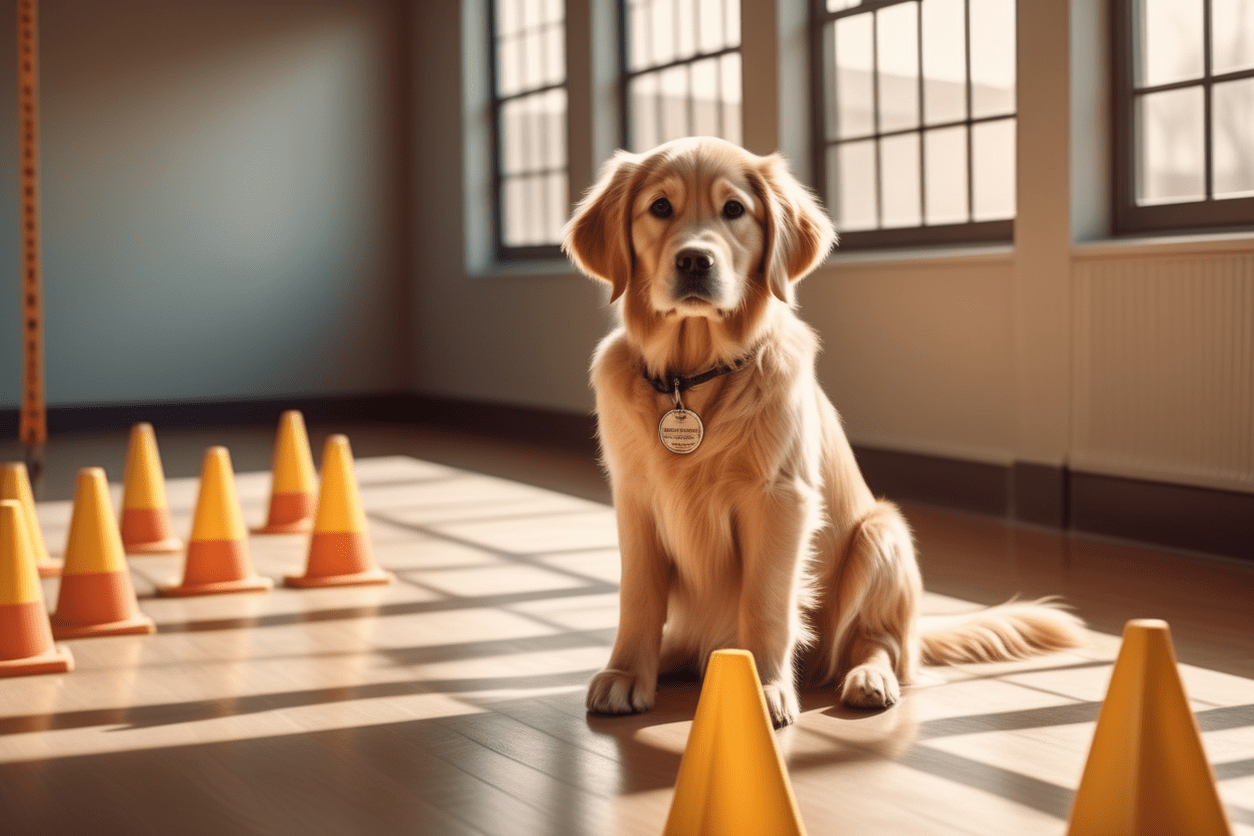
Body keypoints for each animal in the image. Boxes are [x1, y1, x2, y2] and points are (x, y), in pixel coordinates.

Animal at [564, 137, 1083, 726]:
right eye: (659, 207)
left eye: (734, 209)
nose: (695, 260)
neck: (691, 377)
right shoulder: (635, 499)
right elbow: (638, 598)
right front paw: (627, 673)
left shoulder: (780, 498)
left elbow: (765, 602)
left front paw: (764, 687)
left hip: (882, 535)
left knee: (877, 643)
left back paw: (869, 678)